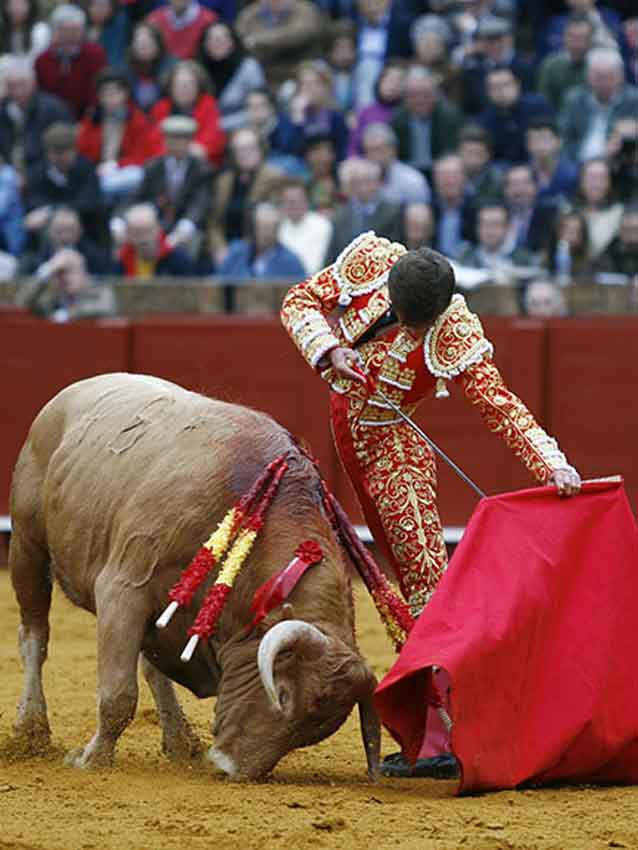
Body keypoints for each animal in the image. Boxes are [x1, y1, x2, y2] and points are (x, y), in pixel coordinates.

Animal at [10, 374, 382, 780]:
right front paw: (91, 759)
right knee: (34, 636)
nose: (229, 767)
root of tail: (72, 392)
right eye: (281, 694)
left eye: (310, 733)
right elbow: (118, 692)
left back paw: (179, 740)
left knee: (151, 667)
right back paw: (30, 731)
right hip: (27, 546)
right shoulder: (123, 589)